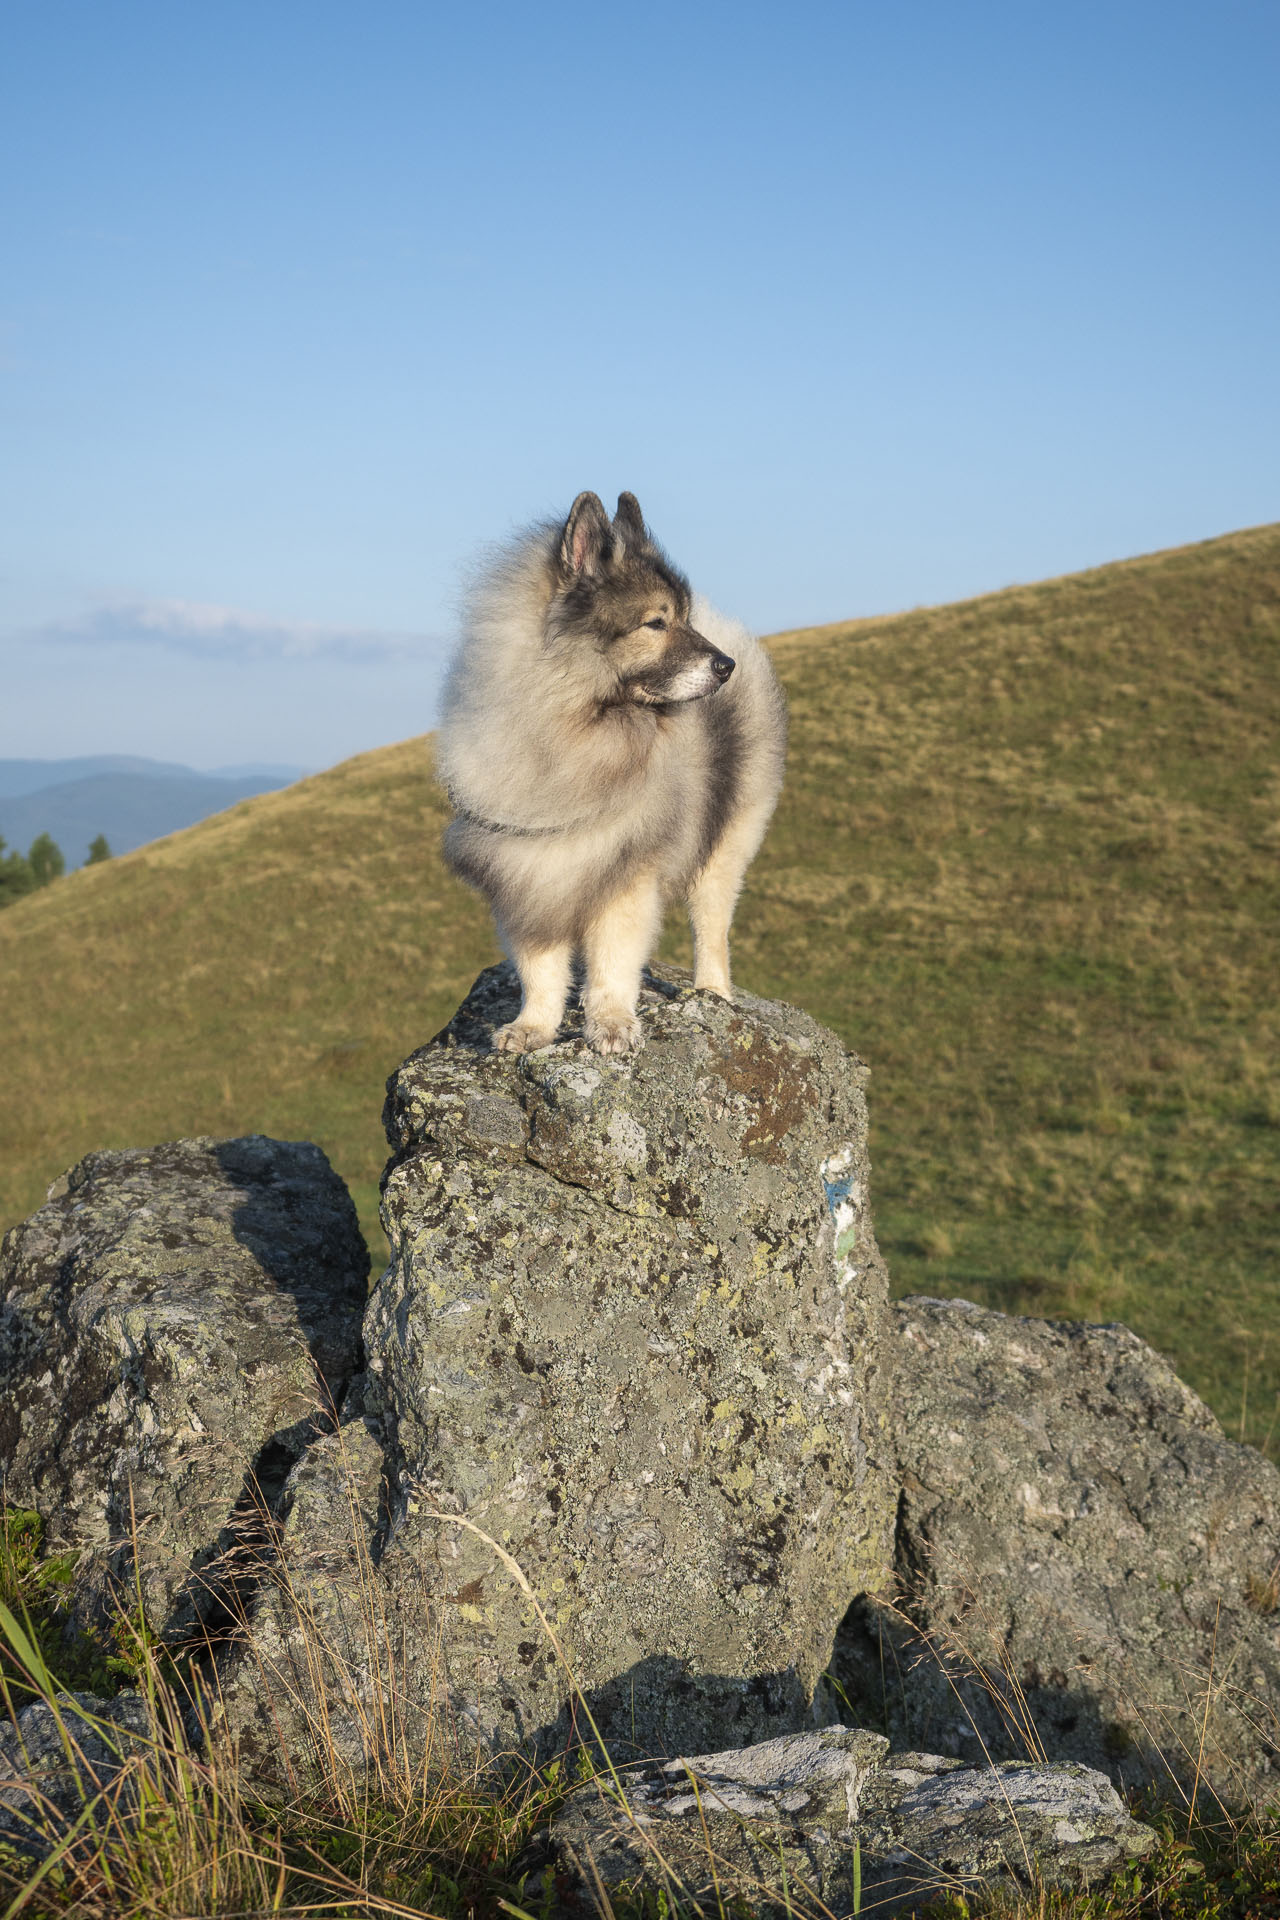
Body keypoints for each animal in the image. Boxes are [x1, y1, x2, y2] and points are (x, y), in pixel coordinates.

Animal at [435, 480, 786, 1052]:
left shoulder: (627, 873)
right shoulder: (527, 876)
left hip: (727, 845)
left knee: (712, 925)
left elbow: (613, 961)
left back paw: (713, 992)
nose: (726, 665)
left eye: (683, 617)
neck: (570, 733)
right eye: (656, 623)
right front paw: (534, 1026)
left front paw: (612, 1022)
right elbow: (540, 968)